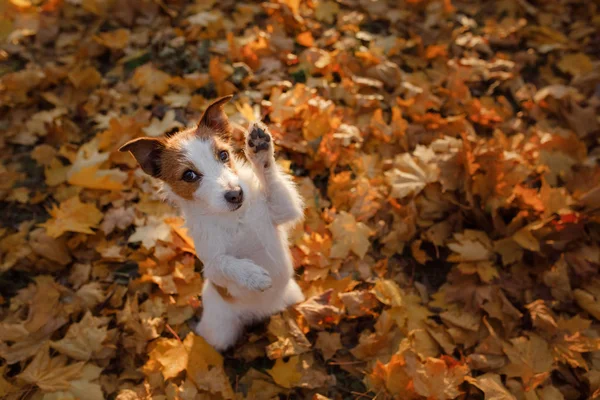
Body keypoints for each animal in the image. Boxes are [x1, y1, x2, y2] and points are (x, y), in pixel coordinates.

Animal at [118, 94, 304, 350]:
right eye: (189, 175)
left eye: (223, 155)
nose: (236, 195)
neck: (234, 218)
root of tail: (263, 312)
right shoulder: (213, 268)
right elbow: (224, 262)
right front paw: (253, 275)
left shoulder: (282, 209)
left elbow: (271, 180)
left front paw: (260, 150)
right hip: (220, 333)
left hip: (294, 297)